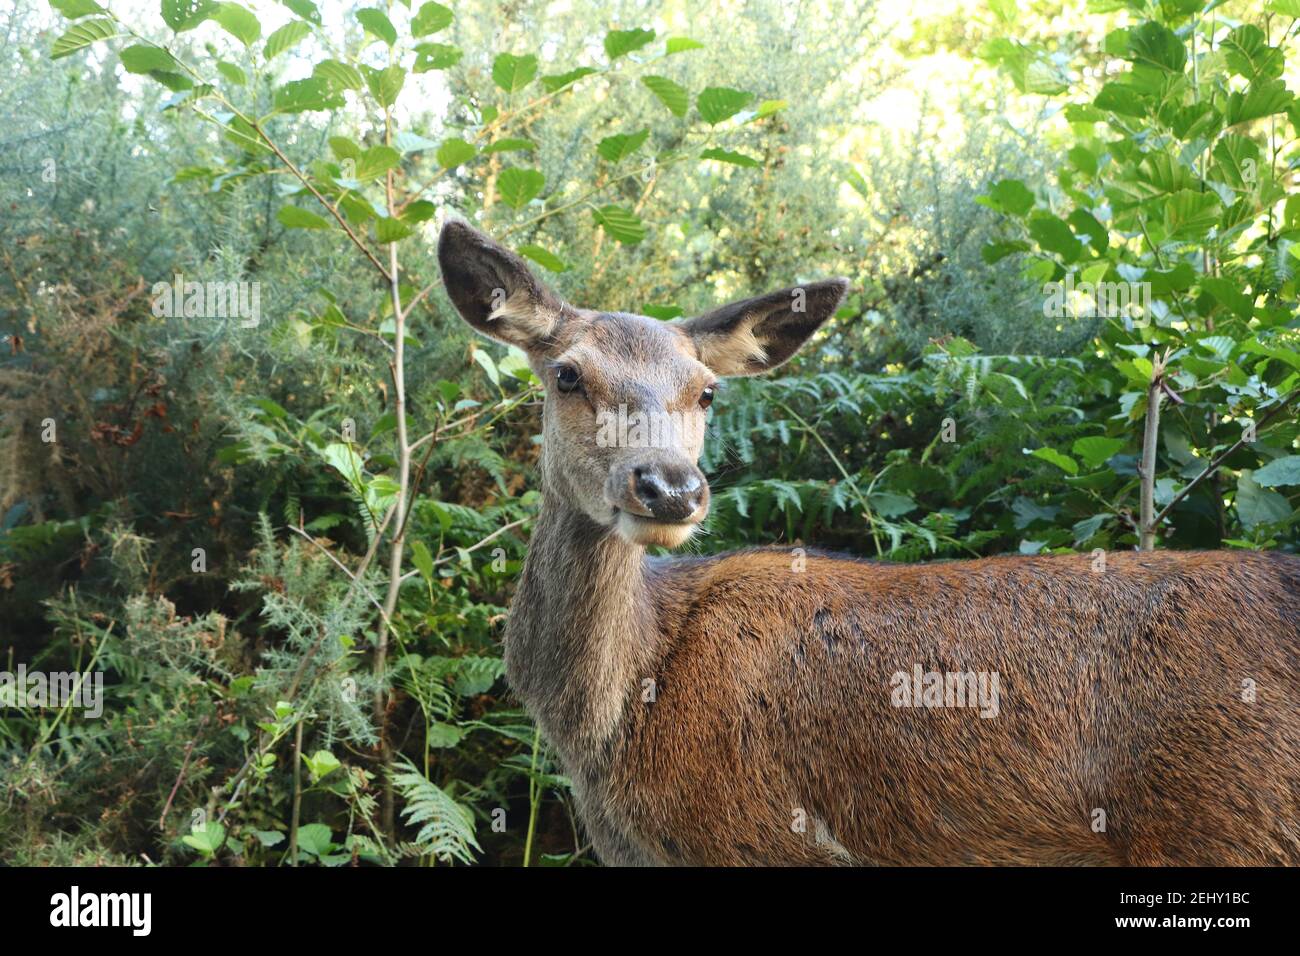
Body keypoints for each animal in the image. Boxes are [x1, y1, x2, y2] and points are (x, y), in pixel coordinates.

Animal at [437, 219, 1300, 866]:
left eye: (707, 392)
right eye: (567, 375)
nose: (670, 486)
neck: (615, 719)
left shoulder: (764, 836)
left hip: (1226, 826)